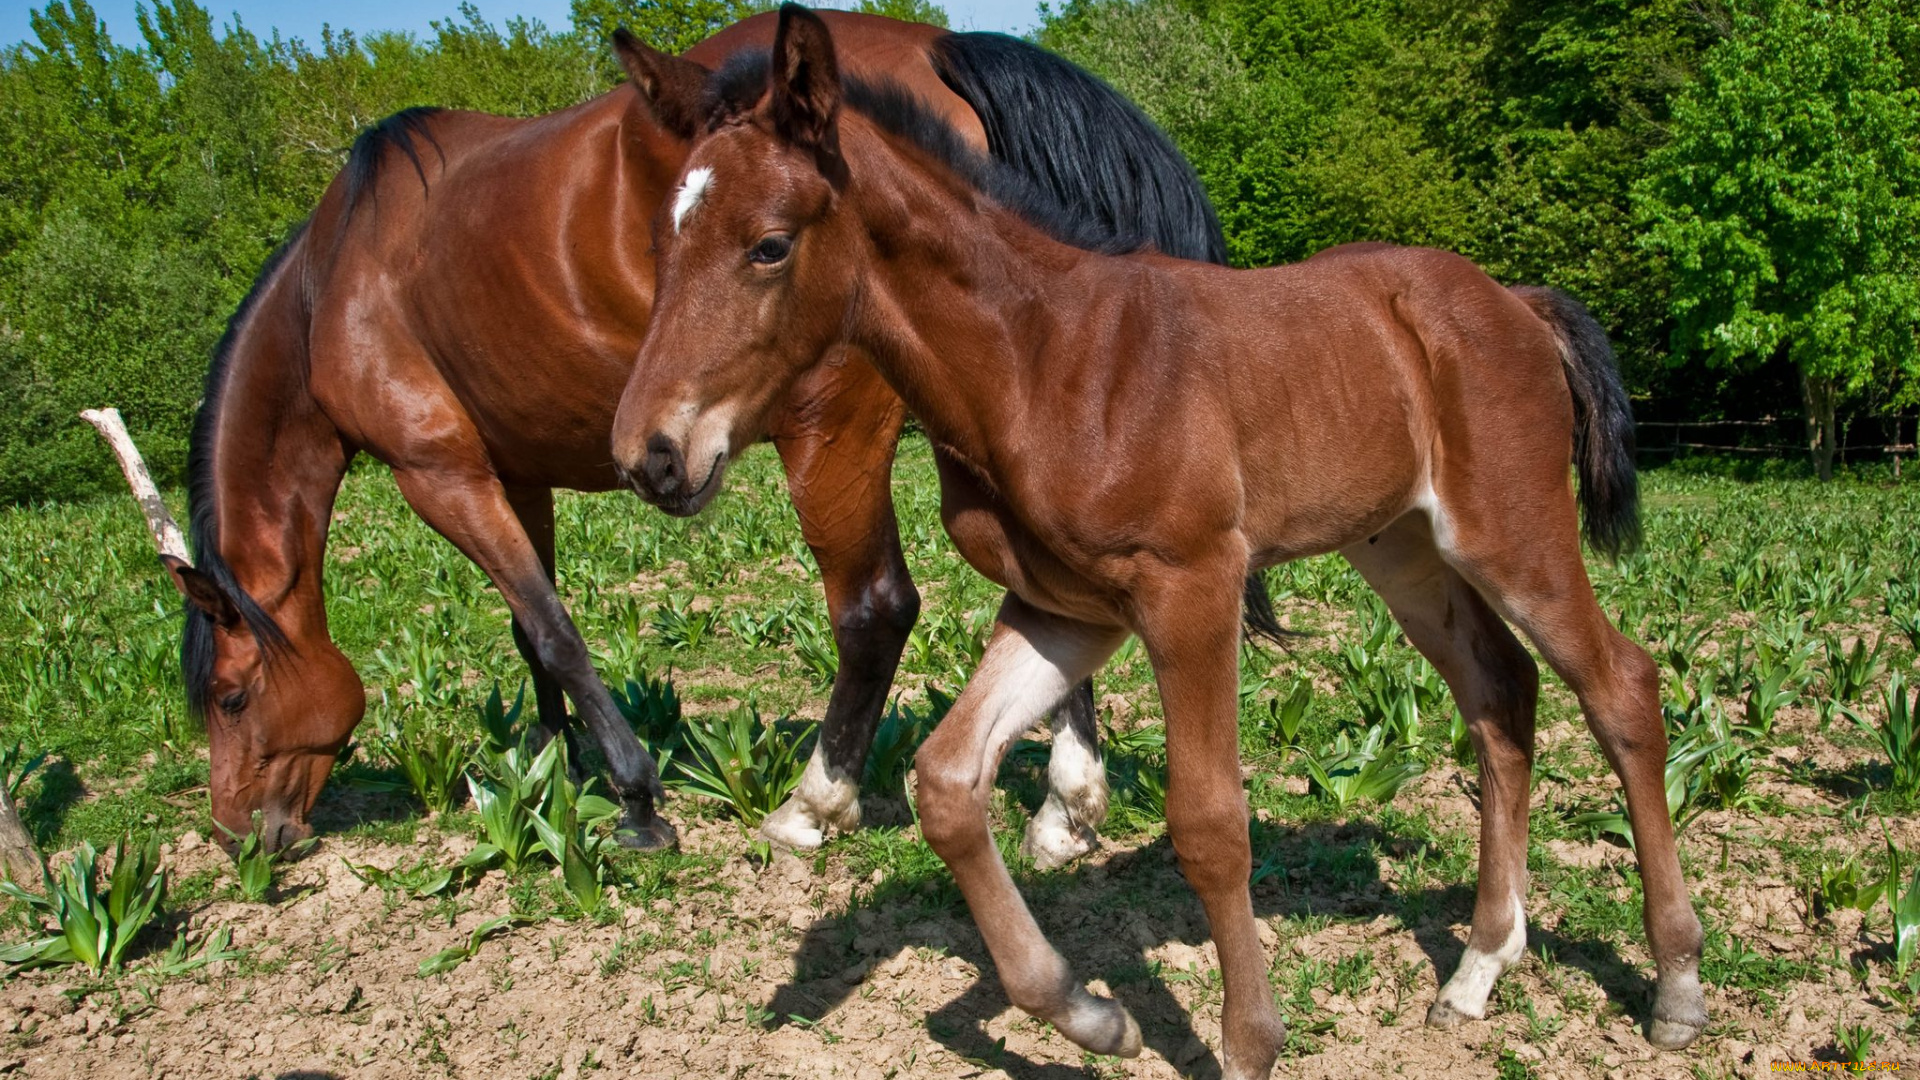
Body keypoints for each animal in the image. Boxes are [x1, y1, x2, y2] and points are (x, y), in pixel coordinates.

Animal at [157, 6, 1251, 849]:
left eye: (232, 698)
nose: (236, 831)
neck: (331, 286)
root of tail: (935, 44)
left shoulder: (439, 471)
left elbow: (553, 632)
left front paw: (636, 799)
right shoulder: (512, 471)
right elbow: (525, 626)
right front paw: (549, 769)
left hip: (837, 430)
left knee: (874, 607)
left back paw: (823, 800)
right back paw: (1065, 805)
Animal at [614, 6, 1712, 1068]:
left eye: (769, 244)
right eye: (661, 244)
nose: (649, 455)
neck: (1042, 358)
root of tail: (1515, 302)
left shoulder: (1193, 586)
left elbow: (1210, 822)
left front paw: (1248, 1044)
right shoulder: (1063, 609)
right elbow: (948, 783)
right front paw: (1091, 1016)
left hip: (1513, 533)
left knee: (1620, 687)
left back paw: (1676, 986)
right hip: (1401, 546)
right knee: (1501, 694)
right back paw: (1478, 971)